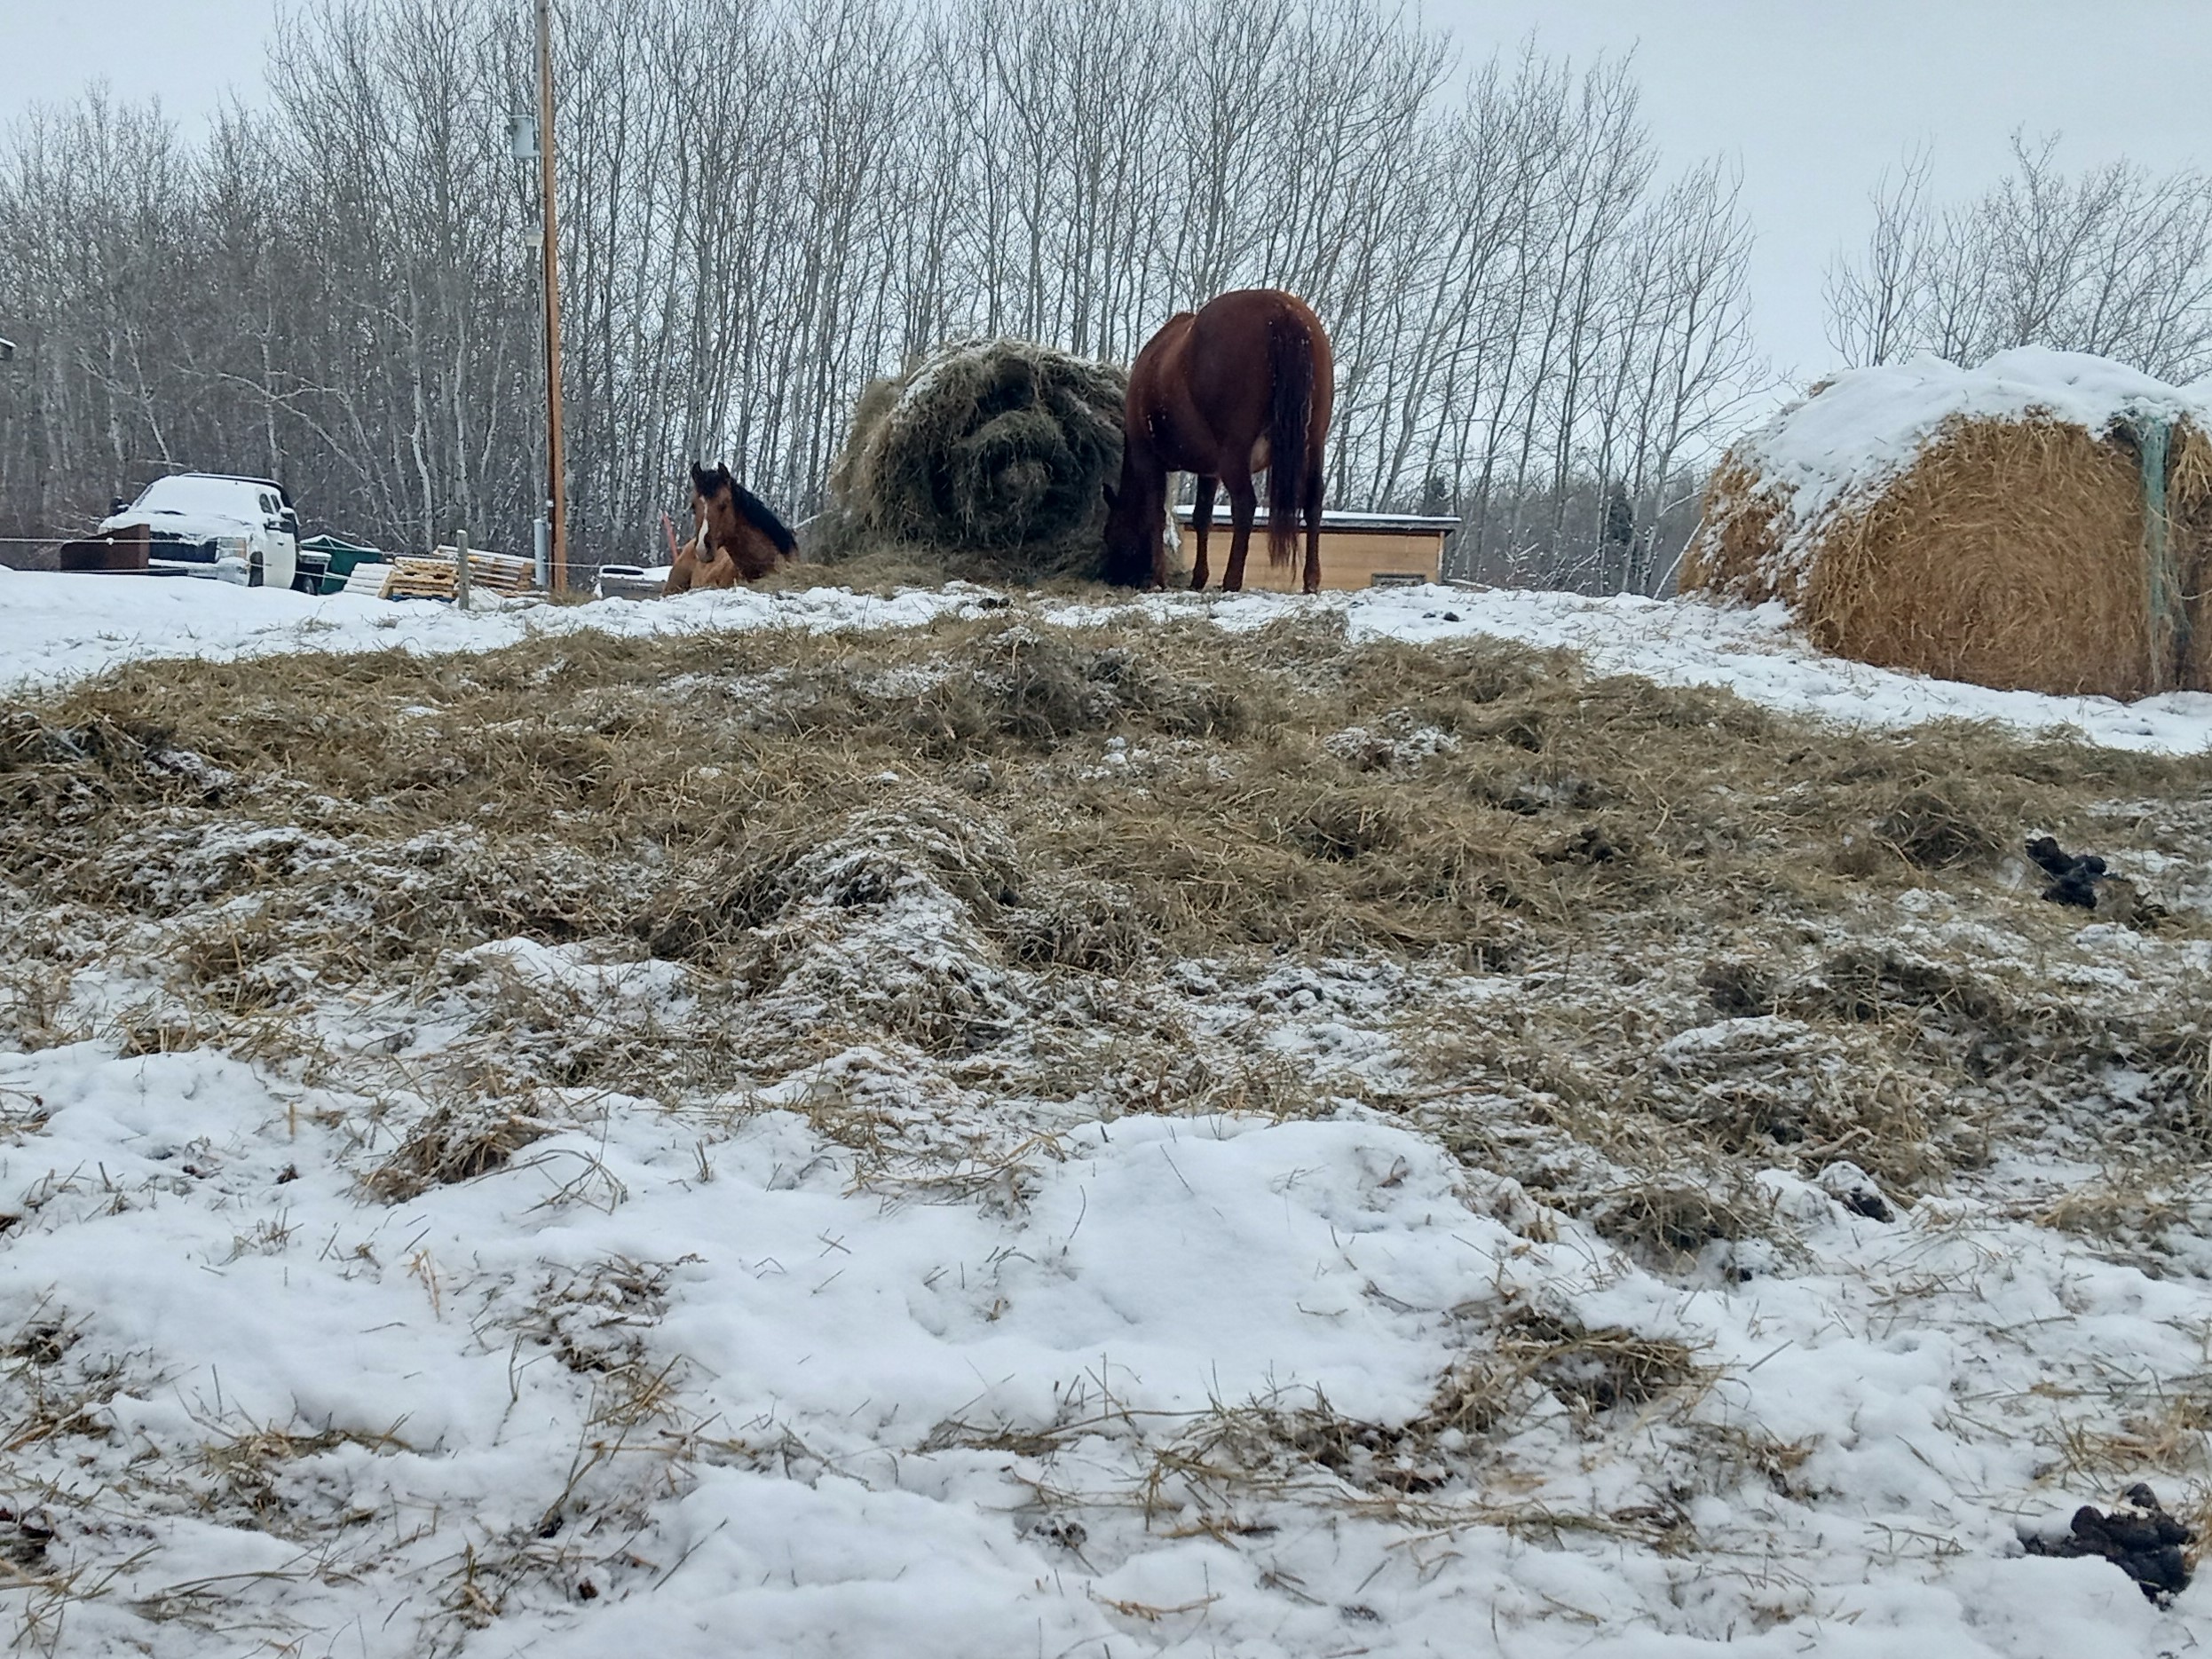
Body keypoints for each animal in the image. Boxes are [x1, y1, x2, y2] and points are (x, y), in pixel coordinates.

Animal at [1102, 289, 1327, 592]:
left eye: (1109, 533)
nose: (1110, 575)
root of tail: (1283, 310)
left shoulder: (1148, 458)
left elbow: (1156, 516)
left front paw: (1158, 578)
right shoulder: (1210, 470)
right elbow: (1201, 517)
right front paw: (1199, 578)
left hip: (1236, 452)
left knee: (1244, 505)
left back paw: (1232, 579)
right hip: (1314, 444)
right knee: (1313, 501)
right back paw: (1310, 579)